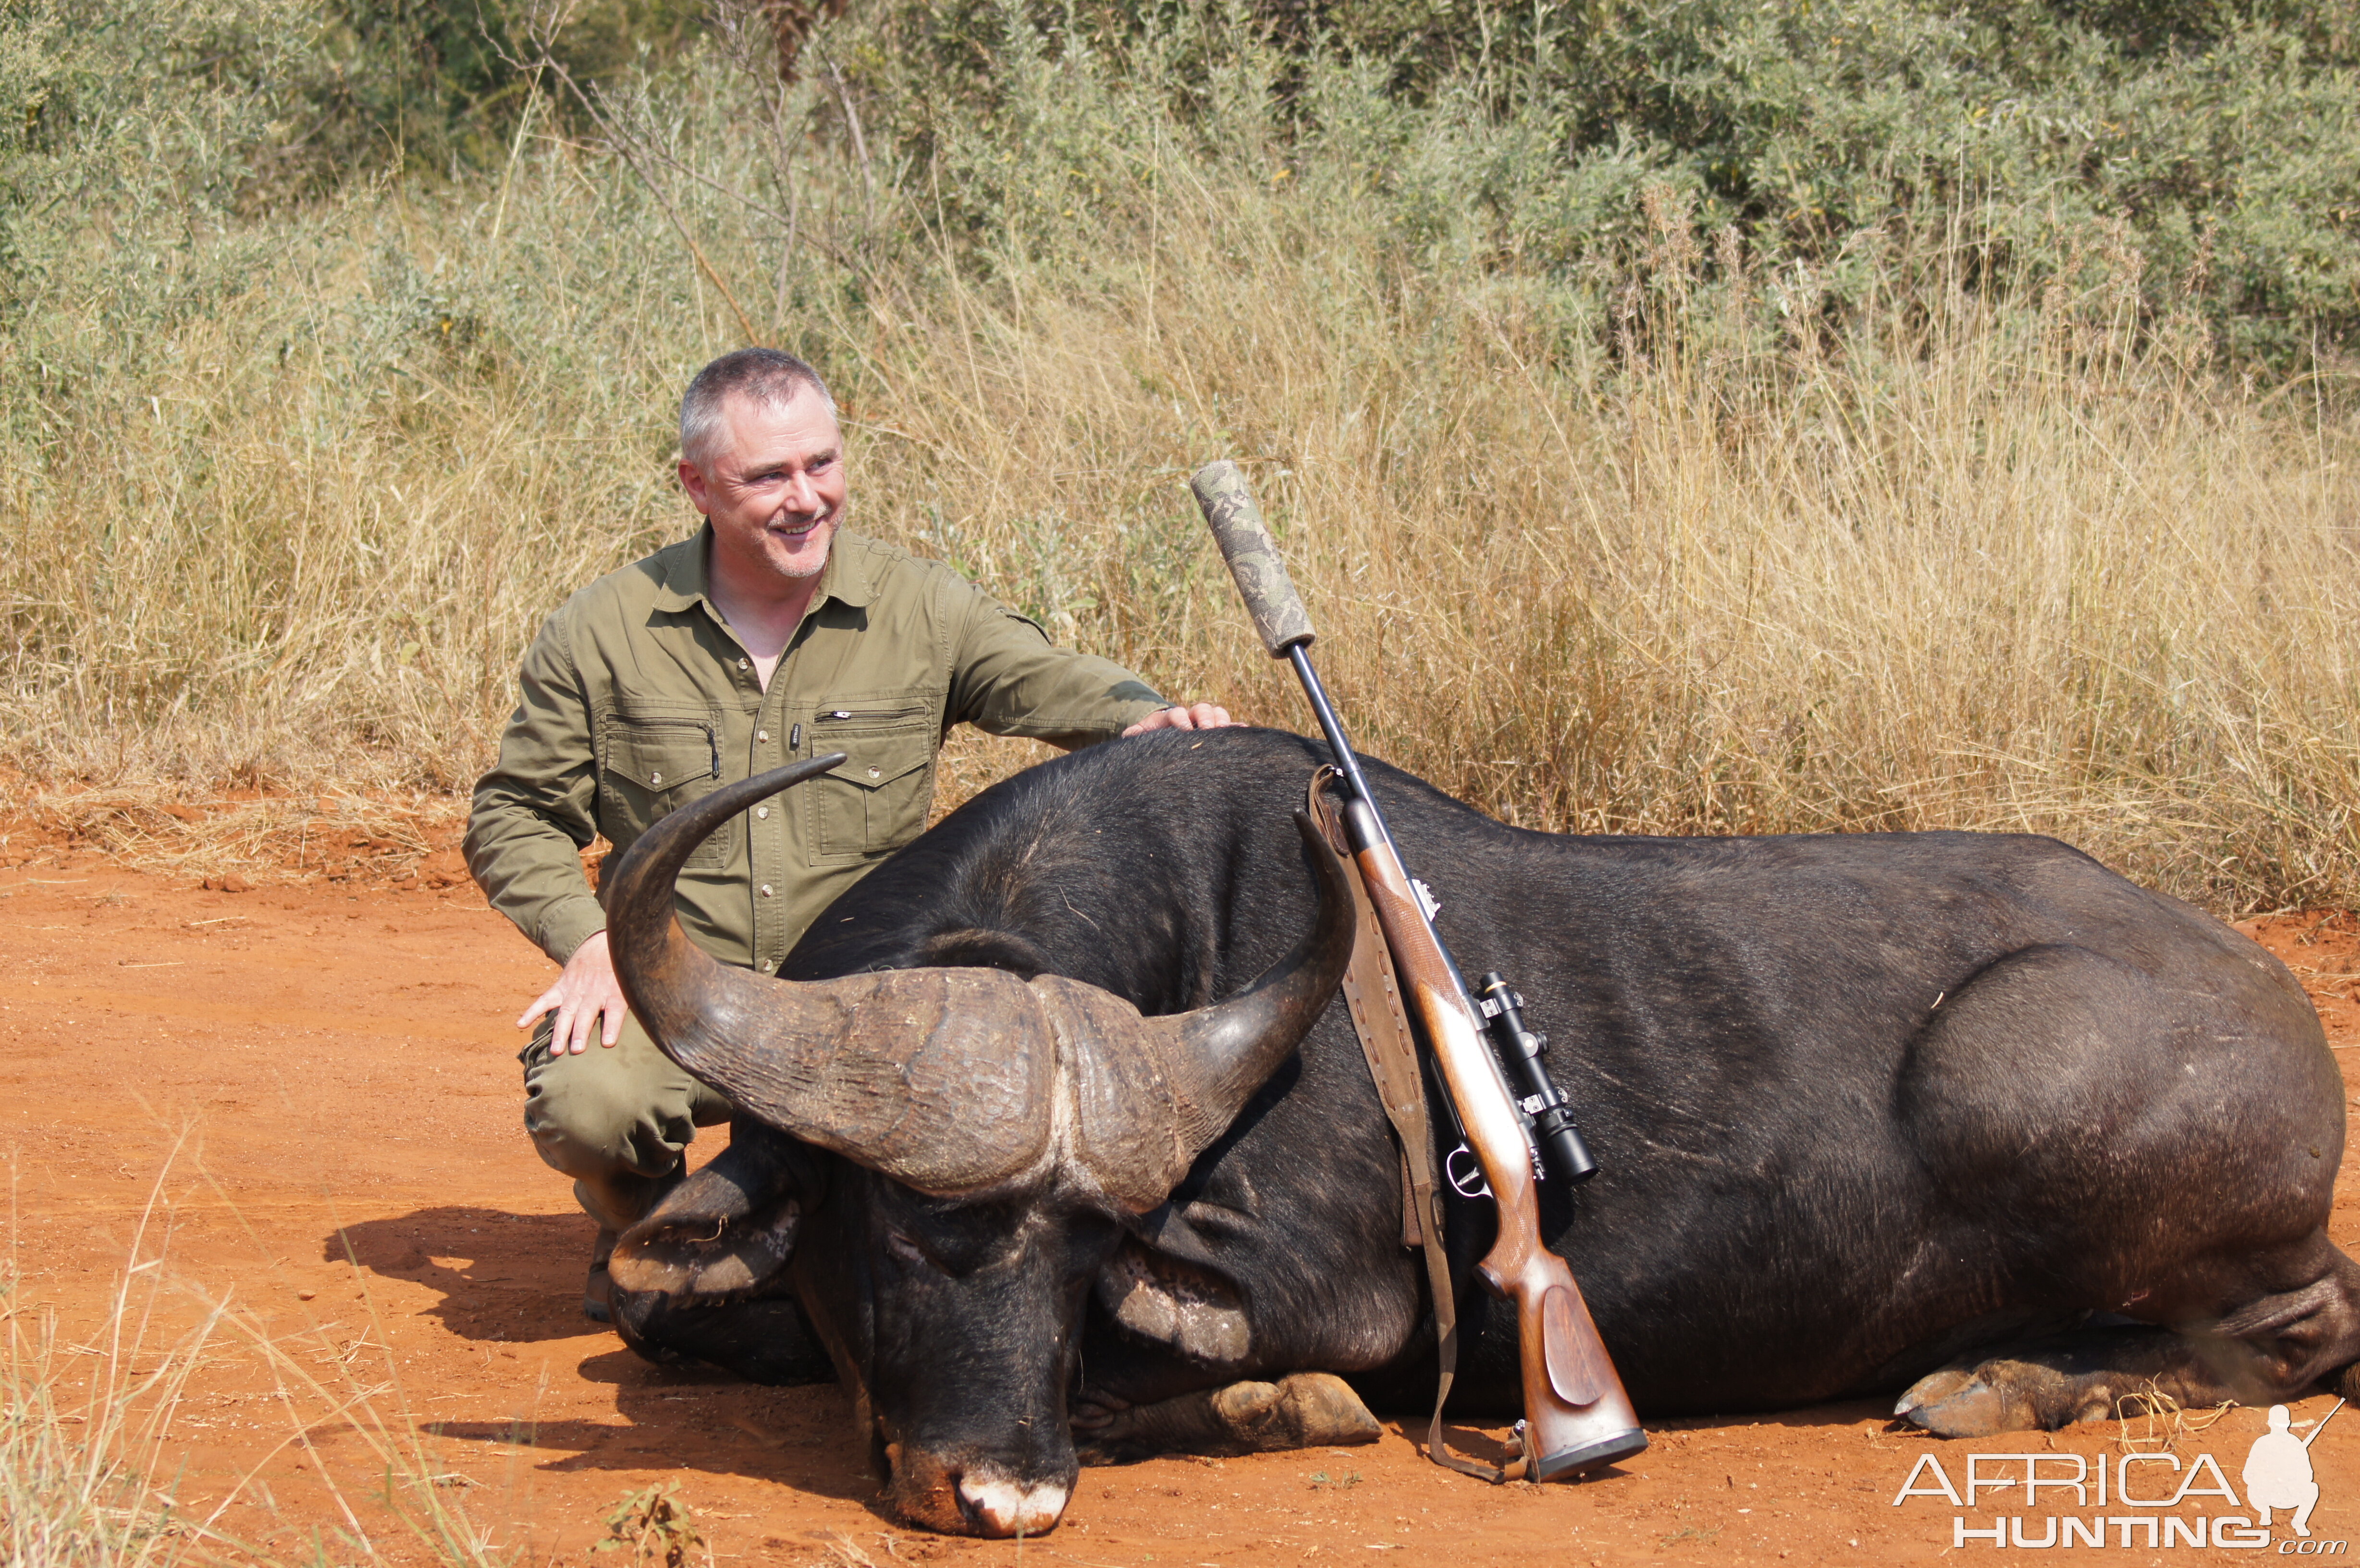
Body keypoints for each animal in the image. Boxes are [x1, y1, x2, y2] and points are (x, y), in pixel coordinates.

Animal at [599, 727, 2350, 1540]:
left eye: (1088, 1244)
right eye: (901, 1228)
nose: (1003, 1493)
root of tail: (2271, 998)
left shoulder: (1332, 1300)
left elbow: (1172, 1370)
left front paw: (1277, 1408)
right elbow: (666, 1319)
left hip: (2025, 1087)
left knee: (2298, 1331)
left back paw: (1999, 1379)